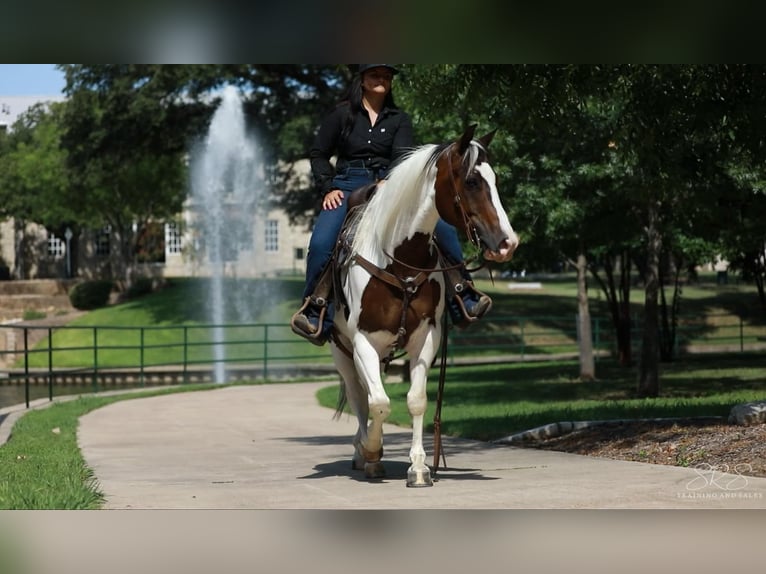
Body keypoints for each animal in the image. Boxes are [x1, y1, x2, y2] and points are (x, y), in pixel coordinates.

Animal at [329, 124, 518, 487]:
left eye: (496, 178)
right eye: (472, 181)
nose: (507, 243)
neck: (398, 261)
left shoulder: (426, 337)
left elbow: (415, 401)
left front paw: (418, 468)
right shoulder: (363, 342)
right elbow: (379, 403)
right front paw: (372, 451)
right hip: (341, 351)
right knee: (360, 397)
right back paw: (362, 453)